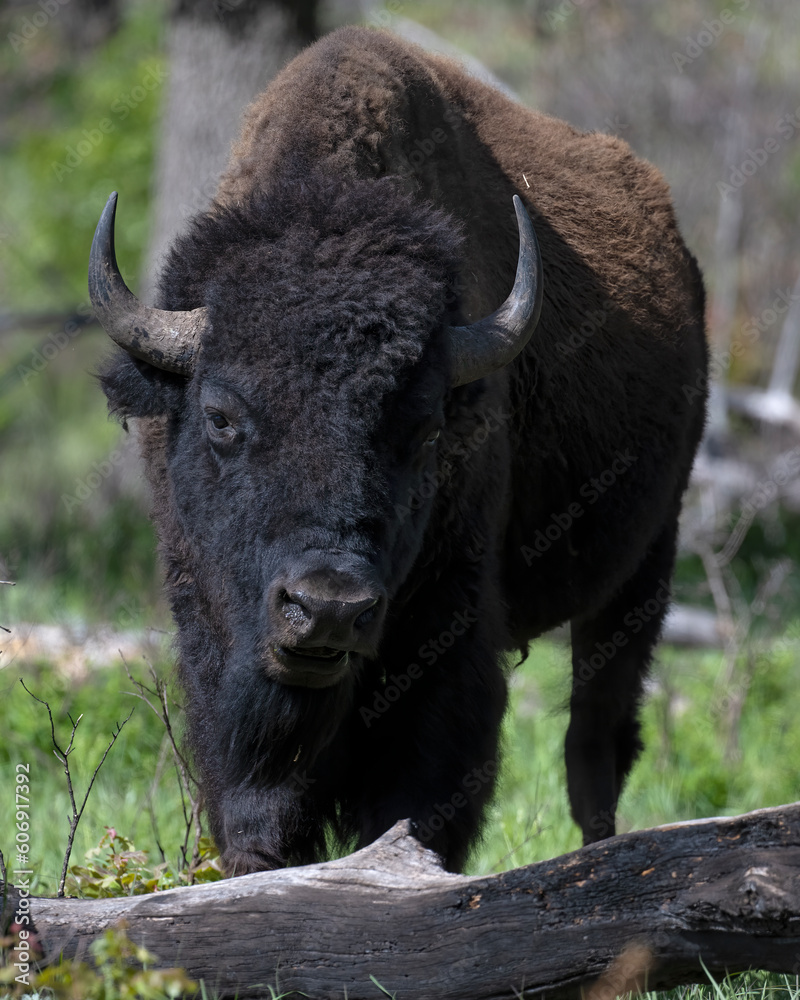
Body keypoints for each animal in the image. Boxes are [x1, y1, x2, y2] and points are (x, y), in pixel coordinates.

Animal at [90, 27, 708, 876]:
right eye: (220, 417)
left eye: (425, 433)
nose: (327, 607)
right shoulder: (213, 638)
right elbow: (256, 806)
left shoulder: (447, 642)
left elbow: (417, 805)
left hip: (642, 568)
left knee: (595, 749)